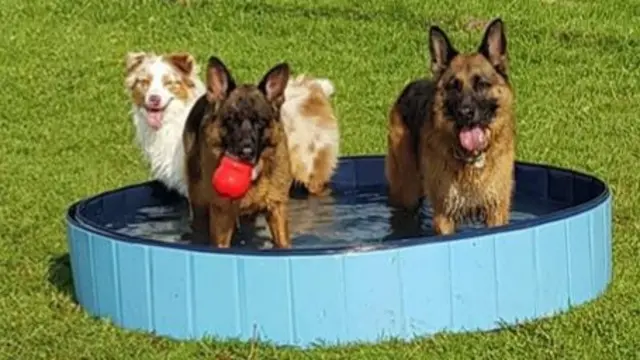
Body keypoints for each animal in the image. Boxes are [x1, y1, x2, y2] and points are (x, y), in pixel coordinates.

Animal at [182, 56, 292, 249]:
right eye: (232, 120)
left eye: (260, 121)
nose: (246, 152)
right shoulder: (221, 214)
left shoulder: (277, 208)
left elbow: (283, 243)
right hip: (199, 203)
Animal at [384, 18, 516, 235]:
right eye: (454, 86)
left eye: (481, 84)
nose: (465, 113)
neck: (472, 160)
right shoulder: (444, 215)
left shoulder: (495, 211)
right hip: (408, 191)